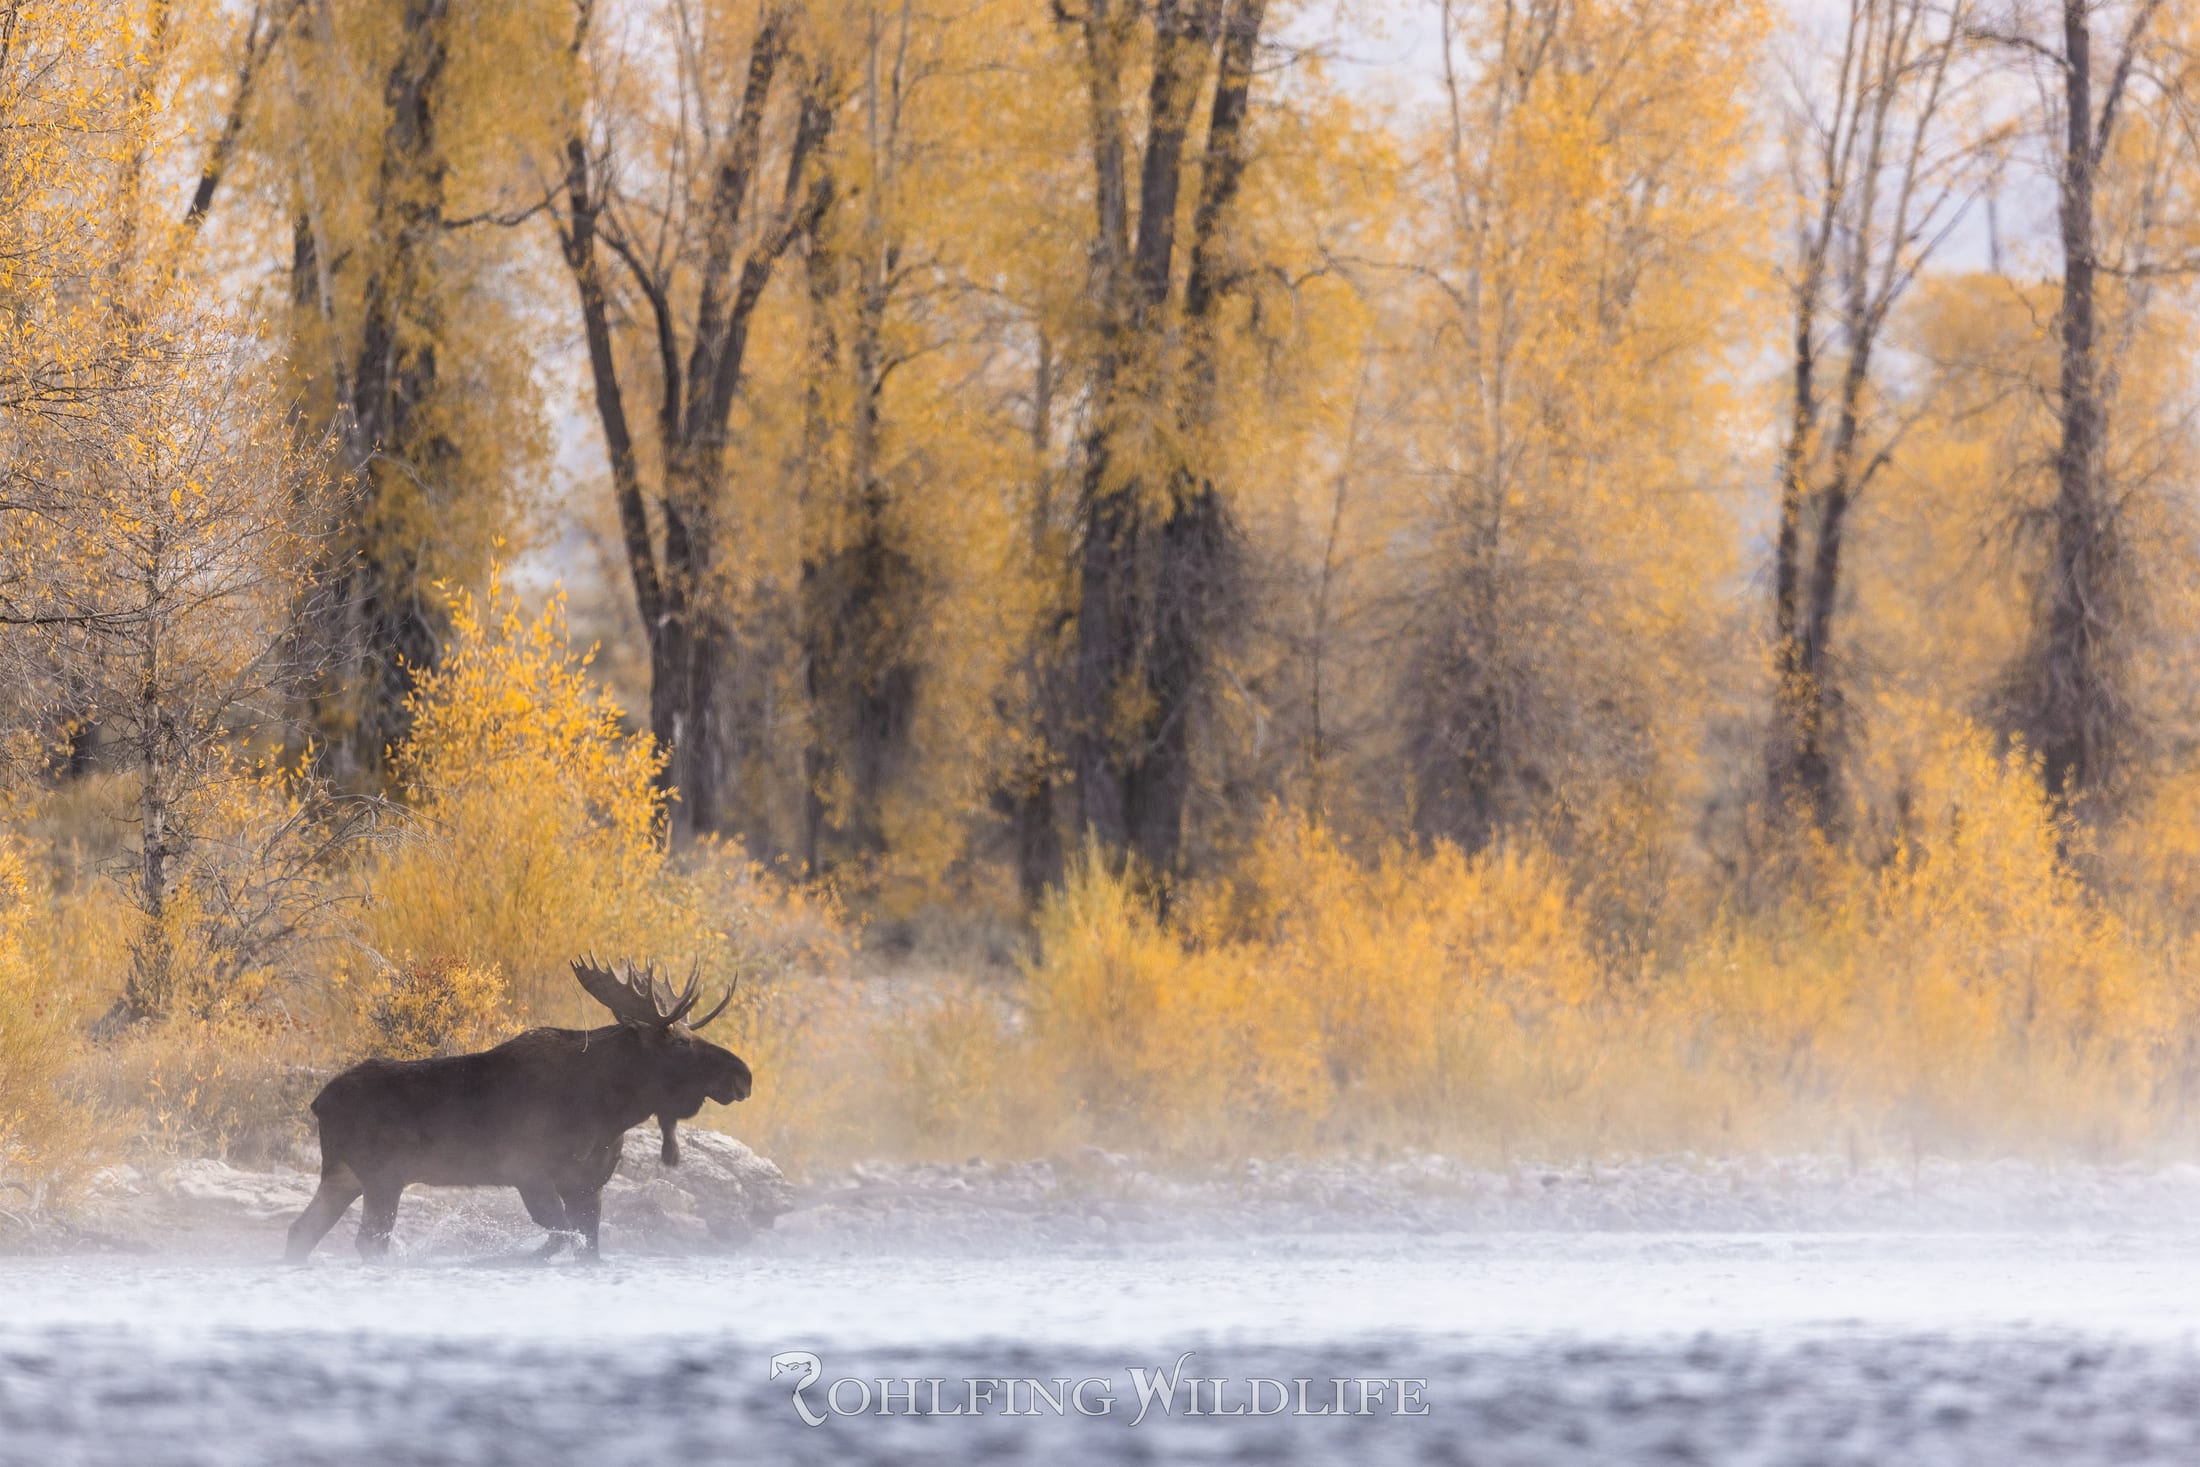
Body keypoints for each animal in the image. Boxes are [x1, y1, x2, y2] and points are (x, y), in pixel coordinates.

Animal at [286, 956, 752, 1263]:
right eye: (679, 1042)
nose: (743, 1076)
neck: (609, 1110)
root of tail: (319, 1102)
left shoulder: (588, 1185)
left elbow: (588, 1248)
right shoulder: (528, 1172)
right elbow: (561, 1238)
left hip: (344, 1177)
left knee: (300, 1231)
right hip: (383, 1177)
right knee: (366, 1241)